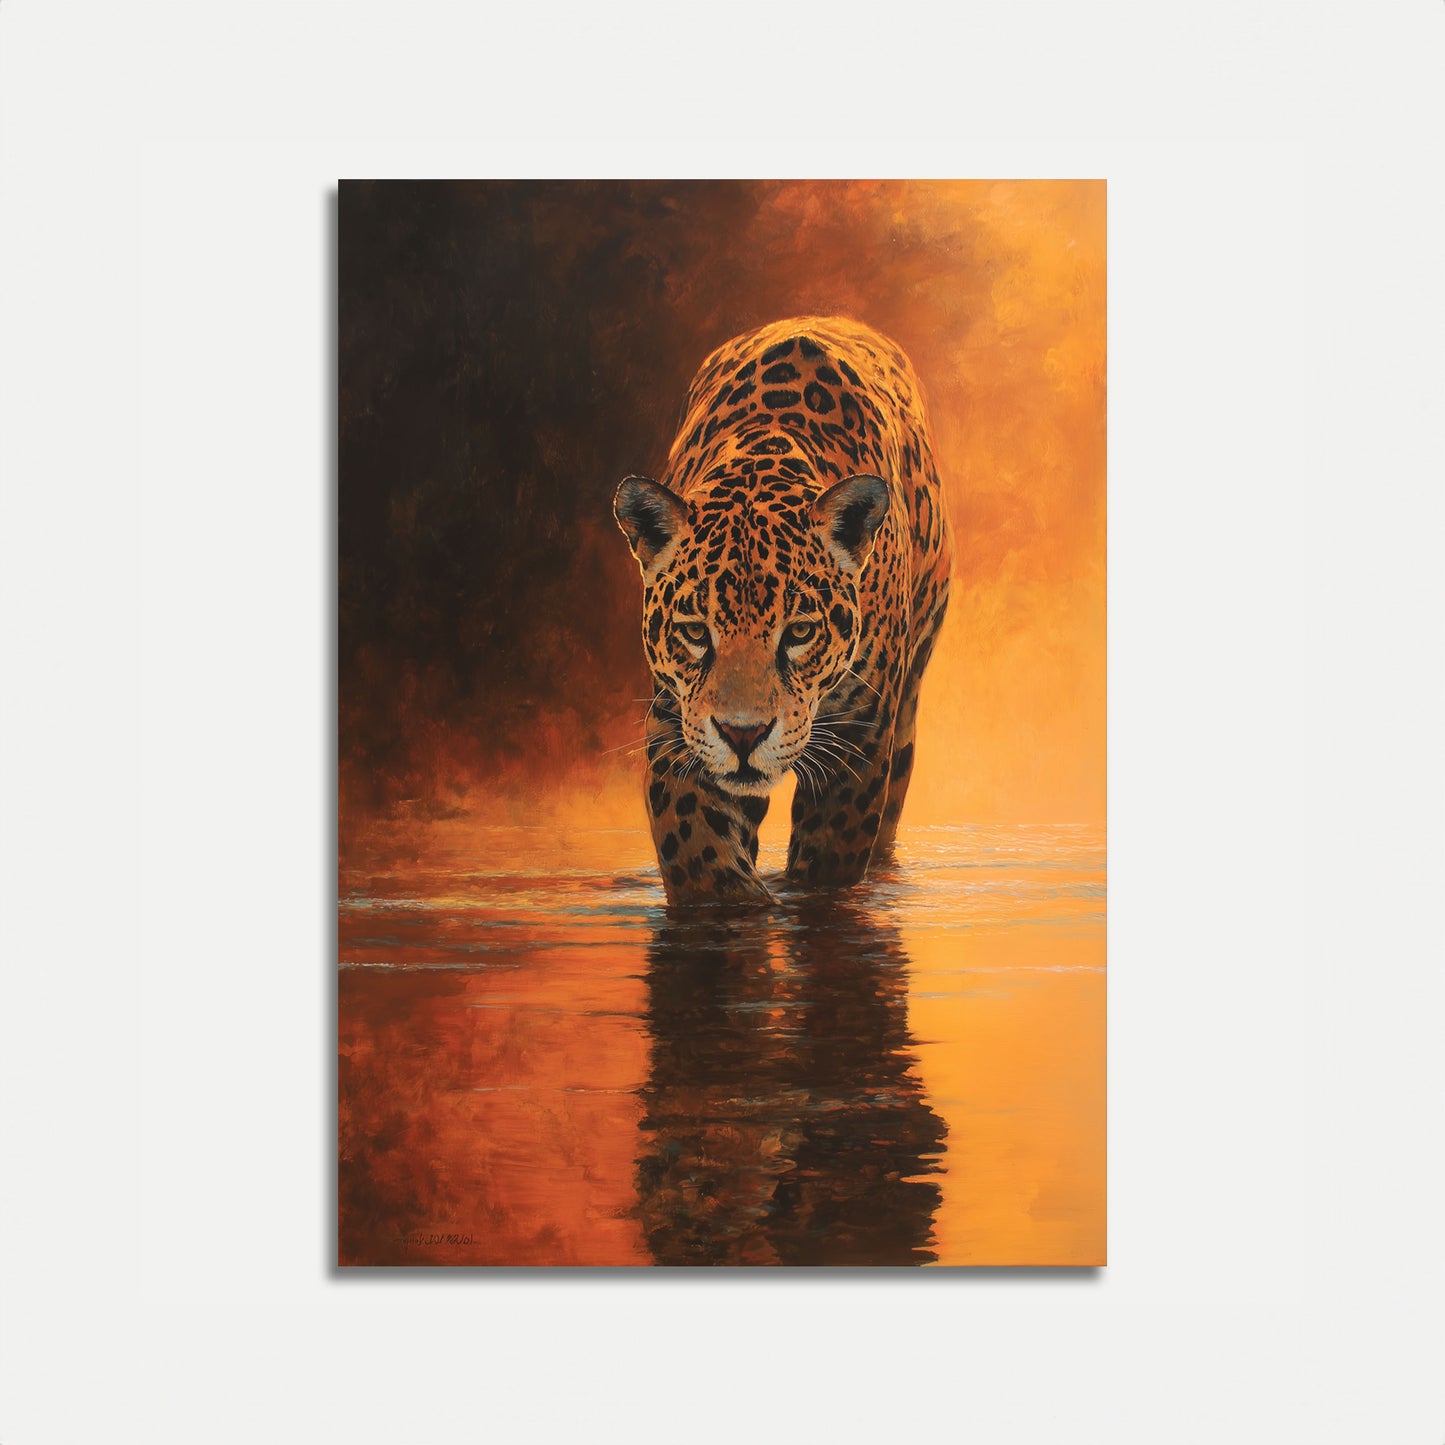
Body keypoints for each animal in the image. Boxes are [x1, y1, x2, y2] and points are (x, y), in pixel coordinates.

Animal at [613, 315, 953, 906]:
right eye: (695, 632)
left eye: (798, 632)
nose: (743, 736)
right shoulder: (676, 721)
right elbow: (696, 847)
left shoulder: (861, 732)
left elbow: (829, 860)